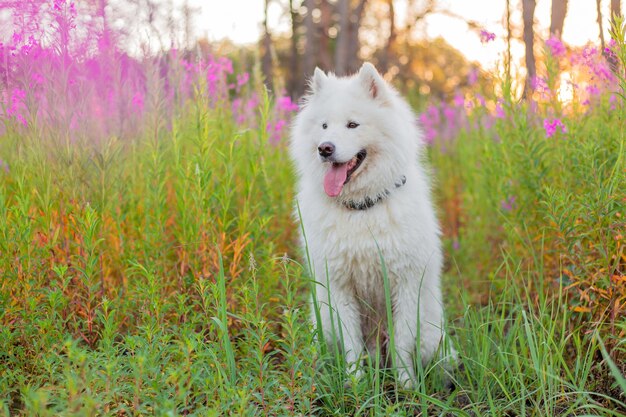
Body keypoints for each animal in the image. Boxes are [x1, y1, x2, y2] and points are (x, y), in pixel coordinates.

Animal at [288, 62, 454, 386]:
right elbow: (352, 345)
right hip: (323, 321)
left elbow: (402, 343)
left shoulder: (405, 285)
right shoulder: (340, 288)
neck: (362, 208)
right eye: (324, 126)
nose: (325, 148)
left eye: (353, 125)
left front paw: (406, 385)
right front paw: (355, 384)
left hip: (431, 332)